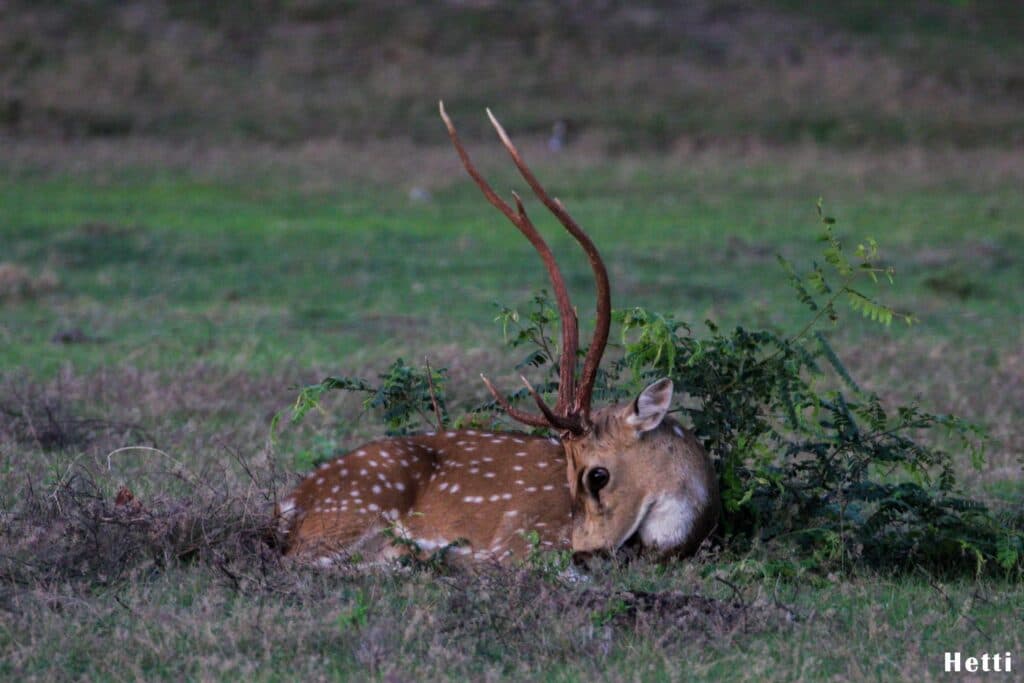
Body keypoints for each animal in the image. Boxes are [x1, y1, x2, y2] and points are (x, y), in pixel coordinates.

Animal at [273, 103, 719, 566]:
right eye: (569, 474)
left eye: (598, 475)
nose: (584, 551)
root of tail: (287, 507)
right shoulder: (520, 537)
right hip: (359, 505)